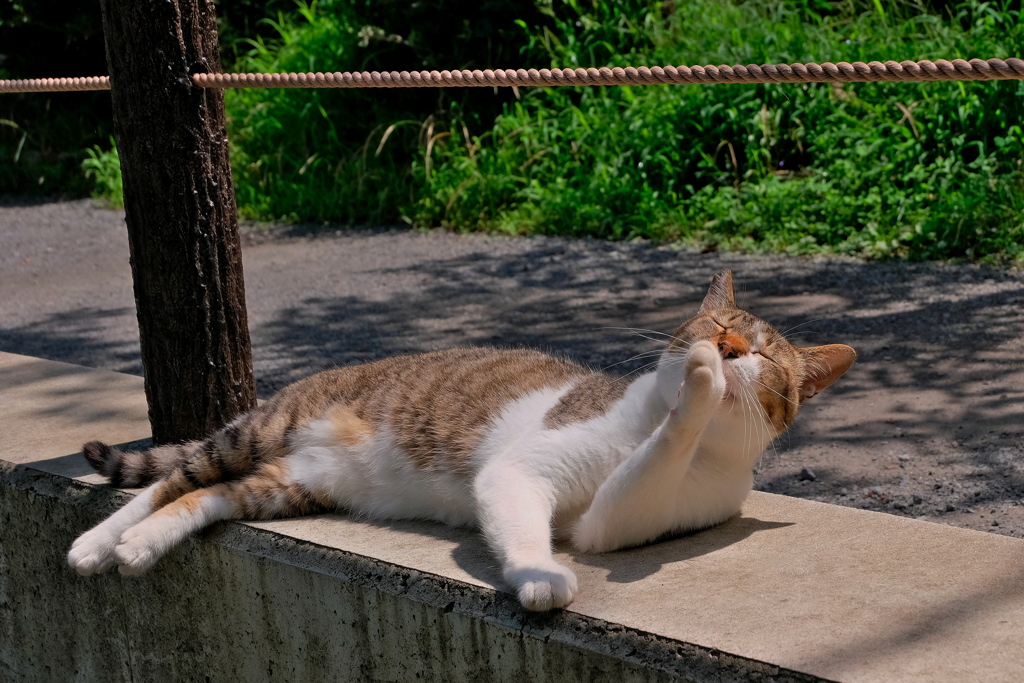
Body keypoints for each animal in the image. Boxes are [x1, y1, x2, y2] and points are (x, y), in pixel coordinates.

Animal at [66, 270, 856, 610]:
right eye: (717, 324)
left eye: (764, 355)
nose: (725, 348)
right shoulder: (521, 470)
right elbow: (526, 517)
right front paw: (541, 575)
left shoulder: (620, 518)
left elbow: (631, 490)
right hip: (256, 431)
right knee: (170, 479)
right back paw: (98, 543)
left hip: (290, 483)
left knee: (207, 496)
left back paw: (137, 548)